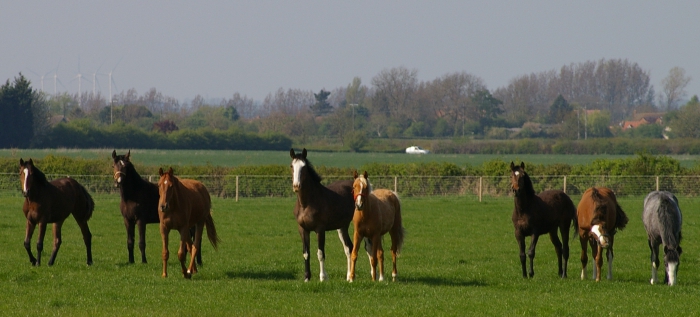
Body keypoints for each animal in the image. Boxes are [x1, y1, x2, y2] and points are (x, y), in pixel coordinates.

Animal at [290, 148, 356, 282]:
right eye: (291, 166)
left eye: (304, 167)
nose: (296, 186)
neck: (306, 204)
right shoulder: (303, 230)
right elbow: (306, 253)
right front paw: (307, 278)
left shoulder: (320, 230)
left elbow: (320, 253)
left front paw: (323, 277)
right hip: (342, 227)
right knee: (349, 248)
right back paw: (349, 276)